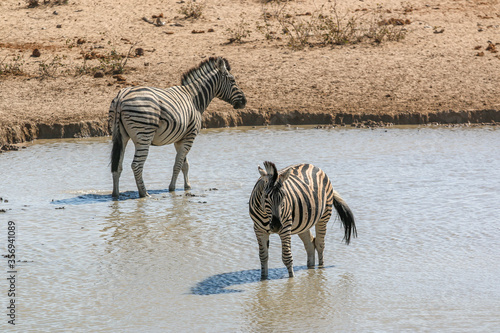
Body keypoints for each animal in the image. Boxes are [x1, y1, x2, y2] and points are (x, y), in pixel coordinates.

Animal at [109, 56, 246, 197]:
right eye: (232, 80)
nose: (244, 101)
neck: (194, 99)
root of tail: (121, 97)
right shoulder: (190, 136)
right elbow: (178, 164)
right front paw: (172, 188)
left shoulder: (179, 139)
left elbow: (185, 165)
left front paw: (187, 187)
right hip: (144, 135)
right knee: (136, 165)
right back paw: (144, 194)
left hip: (121, 136)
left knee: (117, 166)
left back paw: (115, 194)